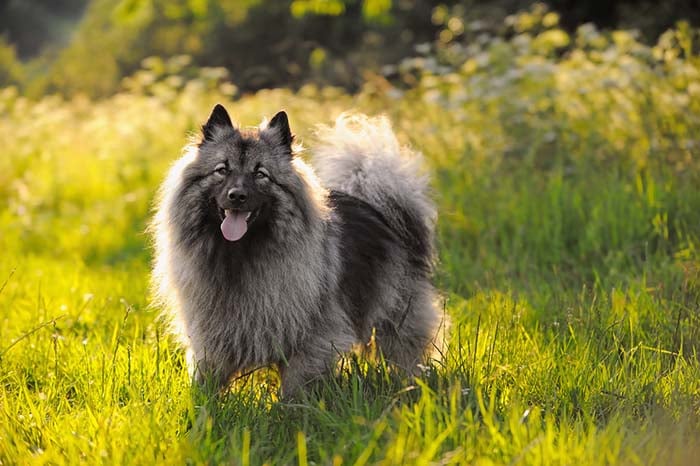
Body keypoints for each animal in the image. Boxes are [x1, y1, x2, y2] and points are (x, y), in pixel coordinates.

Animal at [151, 105, 440, 396]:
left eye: (260, 174)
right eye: (222, 170)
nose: (237, 195)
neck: (240, 254)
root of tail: (378, 208)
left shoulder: (312, 338)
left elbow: (296, 386)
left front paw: (291, 407)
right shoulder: (211, 336)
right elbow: (206, 378)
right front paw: (202, 404)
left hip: (397, 313)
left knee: (405, 352)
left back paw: (410, 386)